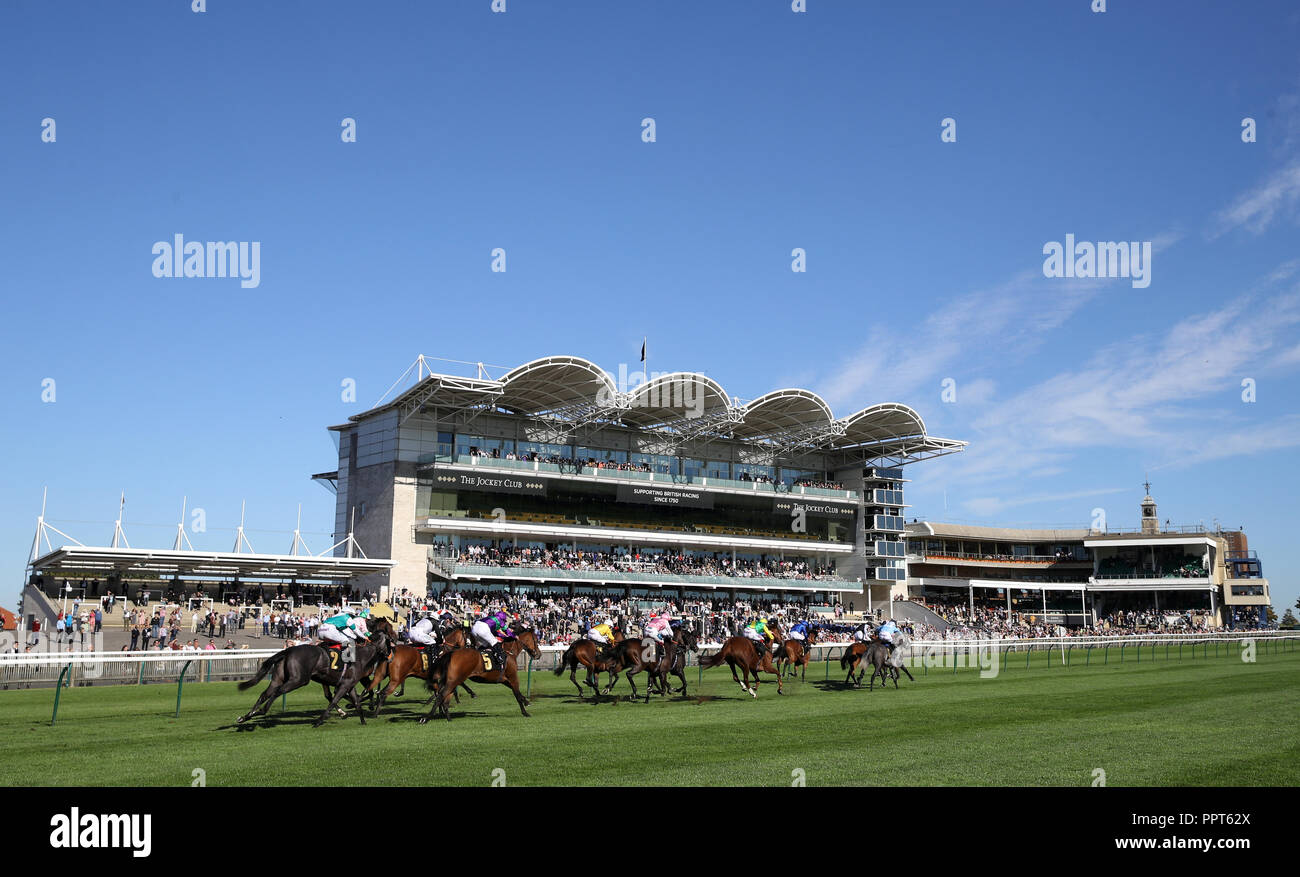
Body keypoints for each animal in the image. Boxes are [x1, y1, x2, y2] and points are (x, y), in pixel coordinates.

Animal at [236, 631, 392, 727]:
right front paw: (319, 721)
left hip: (278, 679)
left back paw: (246, 716)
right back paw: (262, 711)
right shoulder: (344, 685)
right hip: (298, 680)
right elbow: (334, 700)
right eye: (390, 642)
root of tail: (289, 650)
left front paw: (363, 721)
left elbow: (357, 703)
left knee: (265, 693)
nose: (390, 656)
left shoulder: (350, 685)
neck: (360, 656)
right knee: (278, 692)